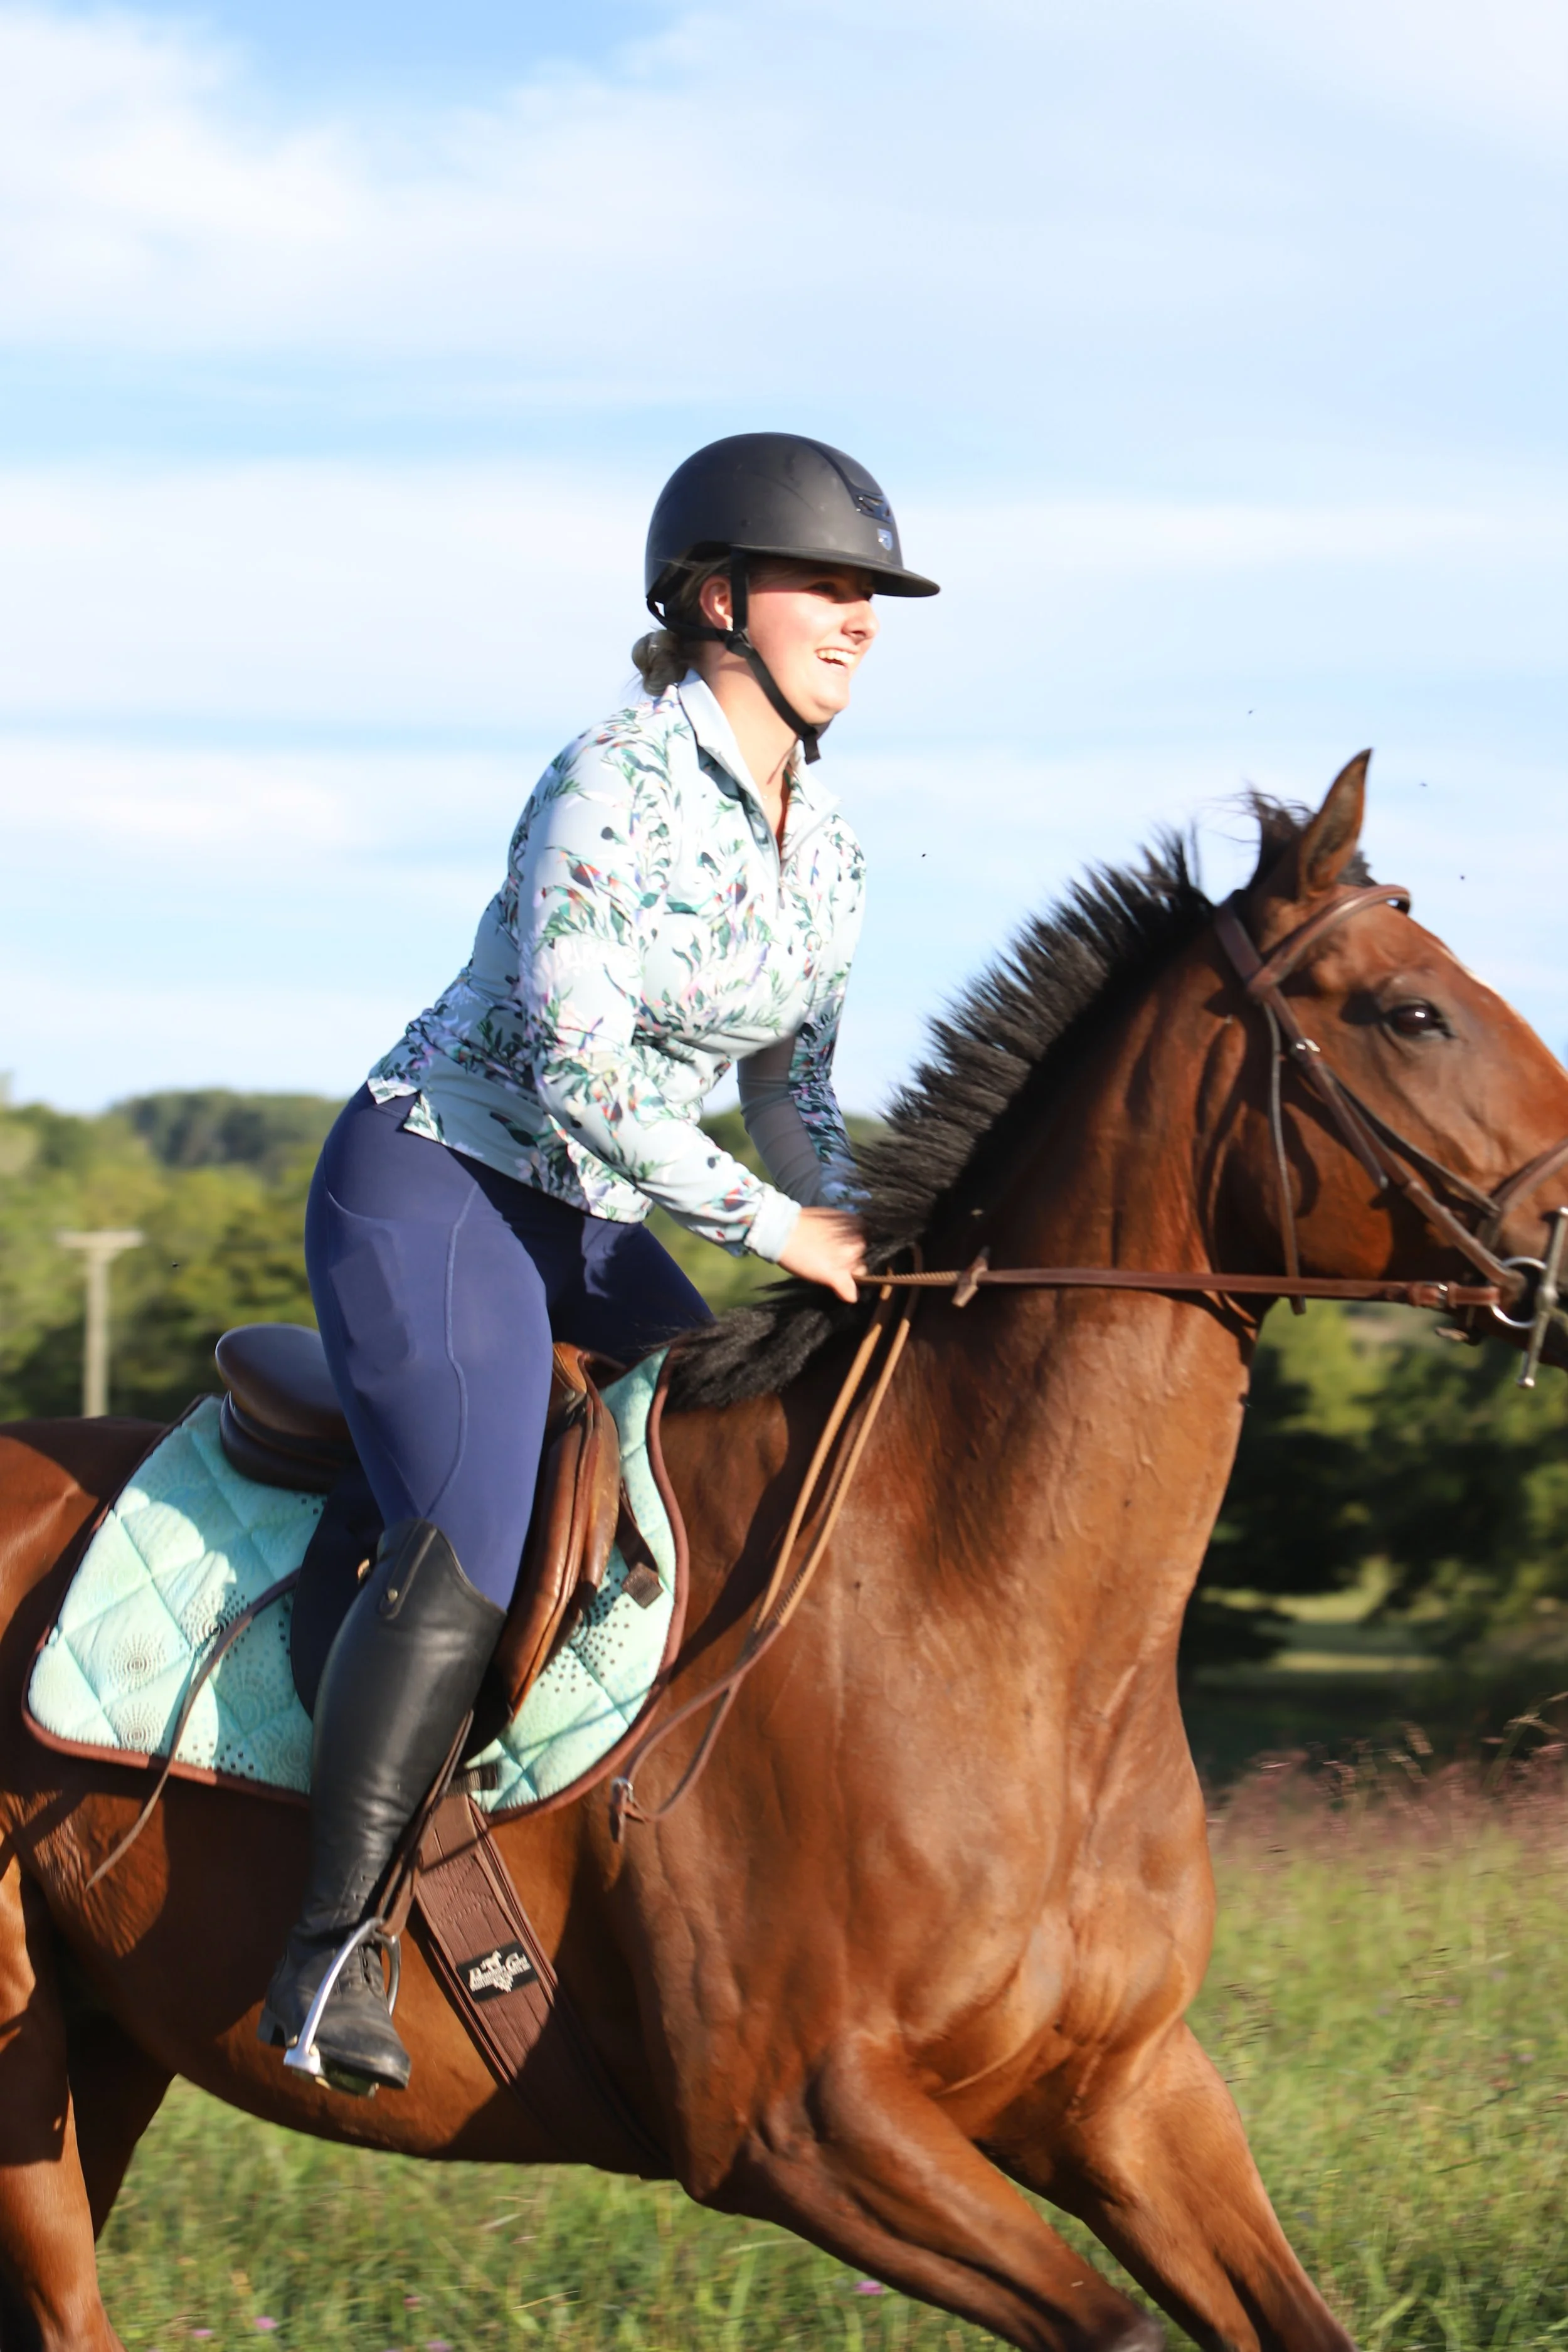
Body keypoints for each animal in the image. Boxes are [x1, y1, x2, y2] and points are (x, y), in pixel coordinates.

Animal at [3, 757, 1566, 2352]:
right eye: (1412, 1013)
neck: (989, 1627)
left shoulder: (1125, 2094)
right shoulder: (807, 2127)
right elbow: (1119, 2327)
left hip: (110, 2045)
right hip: (32, 2080)